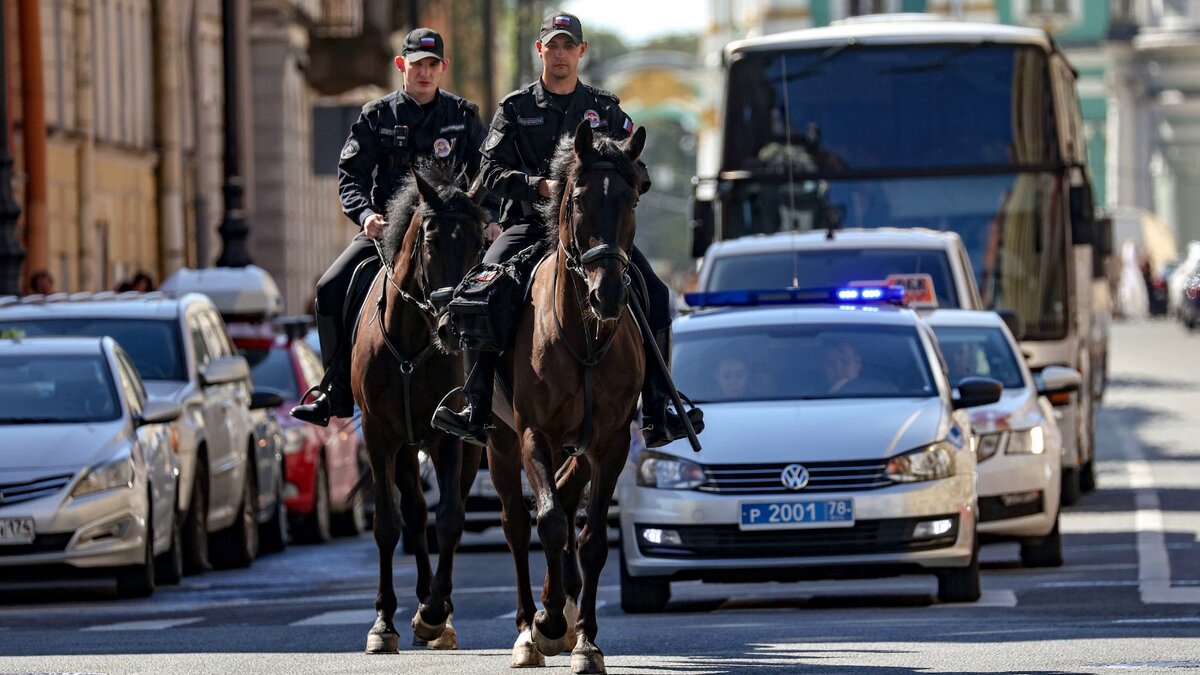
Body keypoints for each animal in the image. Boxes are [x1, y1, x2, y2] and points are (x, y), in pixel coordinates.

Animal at [350, 166, 487, 653]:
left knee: (448, 509)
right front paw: (383, 622)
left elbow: (449, 518)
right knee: (412, 514)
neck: (411, 341)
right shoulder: (378, 437)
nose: (453, 327)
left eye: (479, 244)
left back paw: (437, 607)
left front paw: (433, 613)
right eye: (431, 240)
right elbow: (388, 524)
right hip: (406, 449)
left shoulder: (447, 437)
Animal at [484, 121, 648, 672]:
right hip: (499, 441)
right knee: (518, 523)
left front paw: (586, 640)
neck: (584, 336)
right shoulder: (535, 433)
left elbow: (592, 537)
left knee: (564, 492)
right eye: (577, 199)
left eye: (632, 198)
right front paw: (551, 621)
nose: (609, 294)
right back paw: (528, 628)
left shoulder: (611, 442)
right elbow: (551, 521)